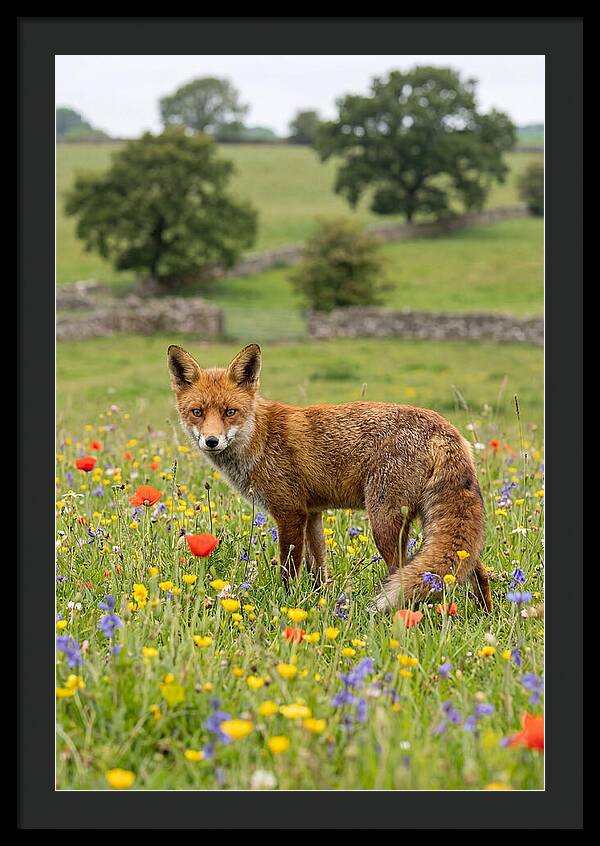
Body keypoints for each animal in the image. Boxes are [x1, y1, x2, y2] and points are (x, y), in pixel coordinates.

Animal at [167, 343, 492, 613]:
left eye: (230, 412)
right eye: (197, 412)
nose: (211, 441)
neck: (259, 438)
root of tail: (444, 427)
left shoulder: (290, 513)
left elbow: (289, 570)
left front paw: (286, 603)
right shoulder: (312, 514)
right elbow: (318, 570)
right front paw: (318, 602)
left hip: (384, 521)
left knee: (401, 572)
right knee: (476, 570)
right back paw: (484, 615)